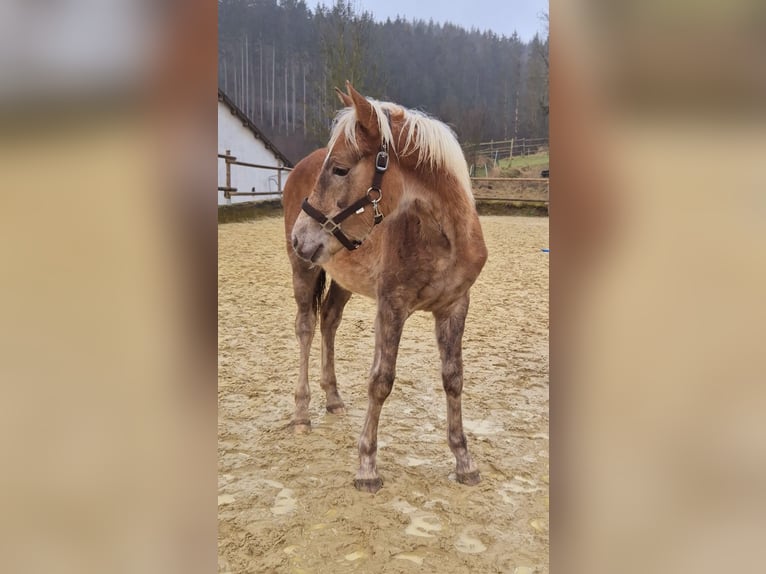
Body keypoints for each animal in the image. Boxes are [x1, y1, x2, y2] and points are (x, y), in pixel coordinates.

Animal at [284, 82, 488, 496]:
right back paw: (301, 413)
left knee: (329, 322)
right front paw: (367, 466)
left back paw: (333, 398)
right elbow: (381, 381)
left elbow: (454, 379)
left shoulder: (455, 306)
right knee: (306, 328)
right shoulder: (391, 306)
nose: (300, 236)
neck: (444, 237)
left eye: (341, 168)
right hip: (304, 270)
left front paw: (464, 460)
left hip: (342, 279)